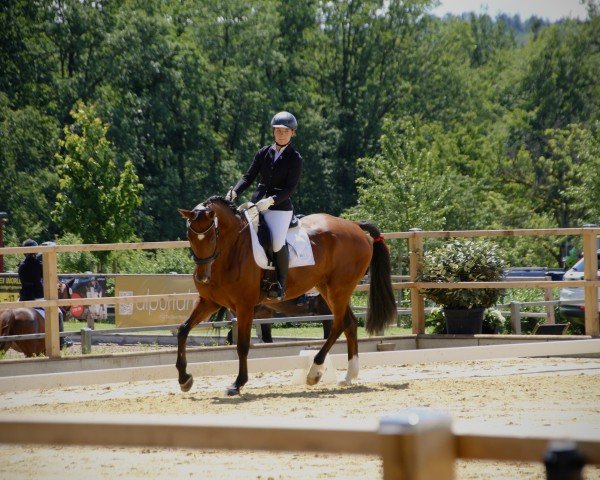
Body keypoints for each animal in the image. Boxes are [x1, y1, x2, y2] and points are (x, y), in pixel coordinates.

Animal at [176, 195, 396, 394]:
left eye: (213, 235)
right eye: (189, 235)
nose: (203, 277)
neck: (232, 249)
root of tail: (354, 226)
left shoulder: (245, 306)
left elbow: (243, 345)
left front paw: (237, 384)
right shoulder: (209, 302)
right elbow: (183, 330)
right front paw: (184, 379)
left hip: (339, 288)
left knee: (339, 324)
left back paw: (314, 372)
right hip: (328, 288)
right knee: (349, 323)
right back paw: (349, 376)